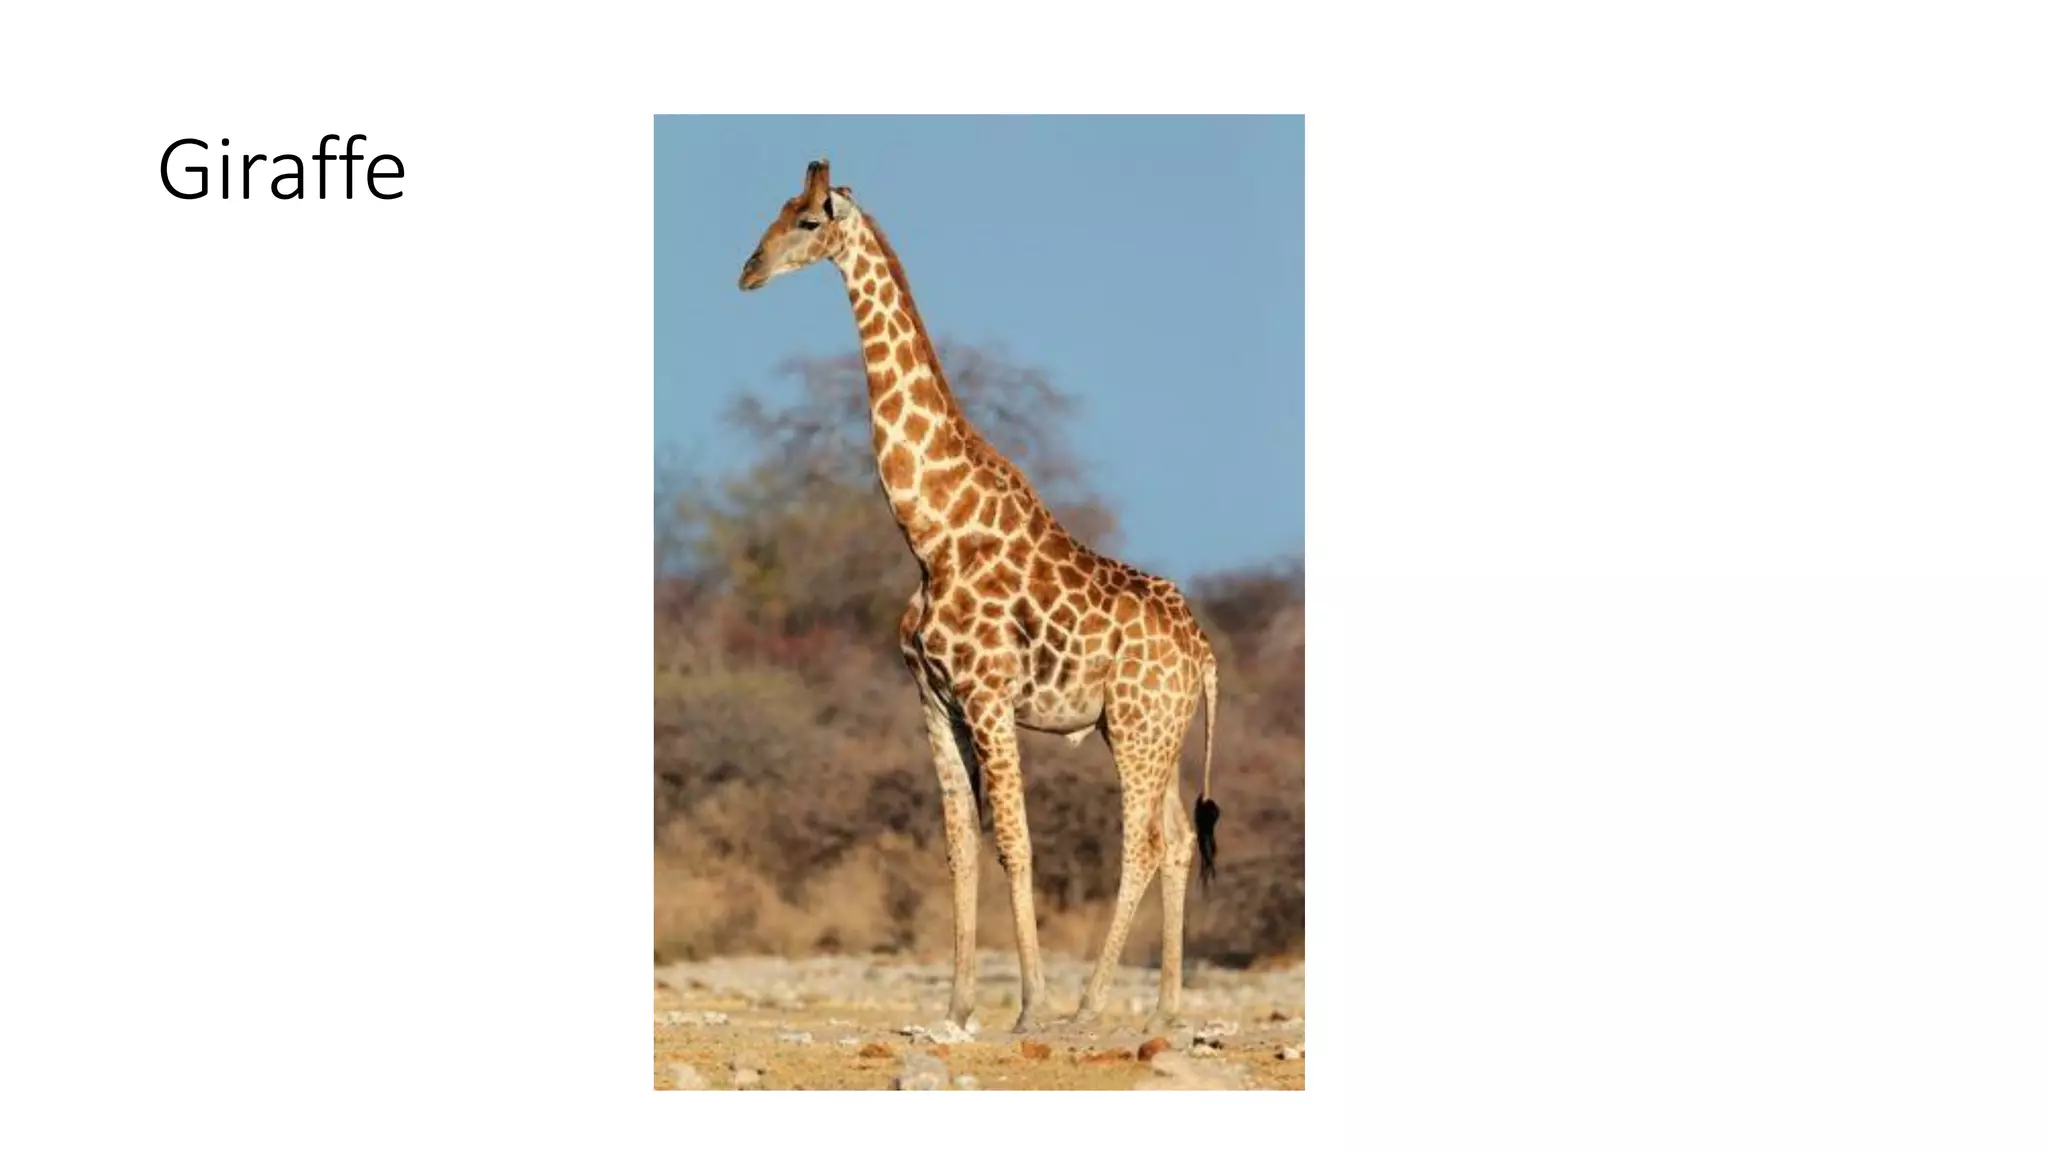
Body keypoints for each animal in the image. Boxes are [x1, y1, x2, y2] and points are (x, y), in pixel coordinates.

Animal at [737, 159, 1223, 1033]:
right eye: (779, 210)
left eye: (807, 221)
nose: (747, 271)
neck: (931, 533)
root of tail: (1204, 652)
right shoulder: (935, 700)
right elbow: (961, 844)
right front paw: (960, 1006)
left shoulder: (989, 695)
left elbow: (1014, 843)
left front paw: (1030, 1006)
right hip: (1149, 729)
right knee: (1171, 837)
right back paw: (1165, 1009)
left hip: (1139, 728)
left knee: (1141, 844)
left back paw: (1087, 1004)